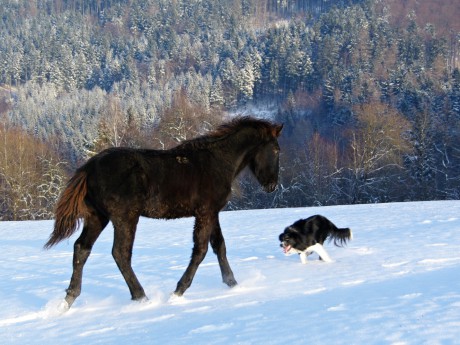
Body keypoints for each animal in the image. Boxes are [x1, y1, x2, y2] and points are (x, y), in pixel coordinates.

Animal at [45, 115, 280, 306]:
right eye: (276, 150)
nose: (272, 185)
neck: (217, 161)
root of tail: (89, 167)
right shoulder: (206, 213)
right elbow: (201, 250)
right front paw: (178, 291)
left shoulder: (212, 213)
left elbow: (219, 246)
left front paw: (233, 283)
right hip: (125, 218)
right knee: (120, 253)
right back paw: (141, 296)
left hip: (97, 217)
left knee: (81, 248)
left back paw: (69, 299)